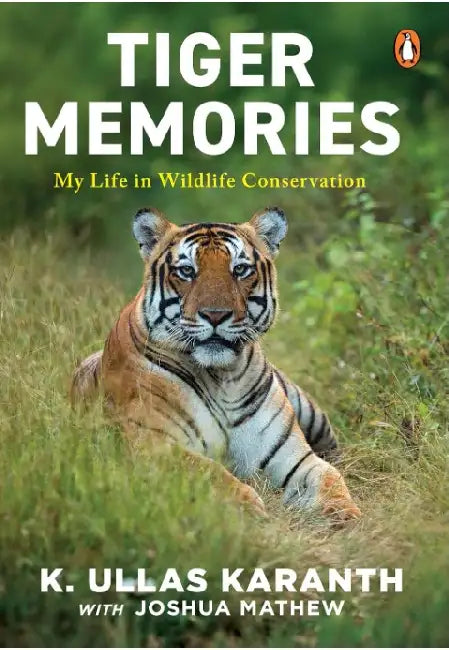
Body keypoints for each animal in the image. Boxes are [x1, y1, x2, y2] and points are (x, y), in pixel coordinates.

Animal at [72, 206, 361, 521]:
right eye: (187, 271)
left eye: (240, 270)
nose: (215, 315)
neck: (223, 379)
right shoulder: (154, 444)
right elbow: (209, 473)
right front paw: (249, 510)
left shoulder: (294, 457)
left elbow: (329, 478)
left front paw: (346, 515)